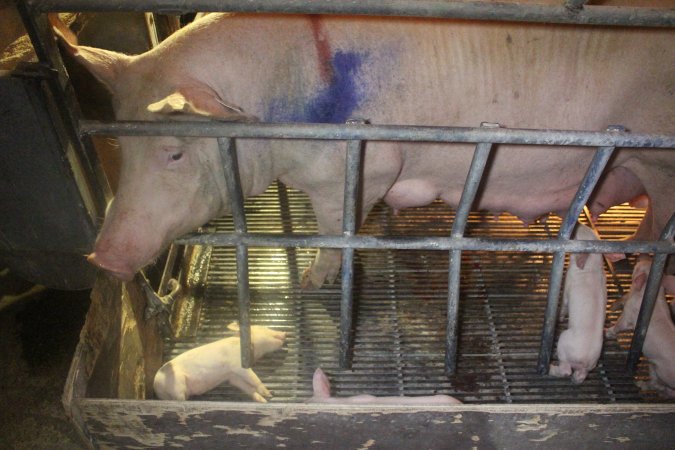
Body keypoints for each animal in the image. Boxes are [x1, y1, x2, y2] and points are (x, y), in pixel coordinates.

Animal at [54, 8, 675, 286]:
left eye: (175, 152)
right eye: (122, 148)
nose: (102, 257)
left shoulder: (367, 163)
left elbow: (338, 225)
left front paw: (313, 280)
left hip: (656, 153)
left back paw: (635, 264)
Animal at [152, 322, 286, 402]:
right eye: (263, 327)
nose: (286, 333)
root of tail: (156, 386)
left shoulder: (232, 376)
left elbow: (246, 387)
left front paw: (265, 399)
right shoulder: (238, 365)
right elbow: (254, 378)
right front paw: (269, 394)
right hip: (176, 385)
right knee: (180, 398)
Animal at [548, 224, 608, 384]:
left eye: (575, 236)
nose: (579, 223)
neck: (593, 267)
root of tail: (585, 360)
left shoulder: (568, 281)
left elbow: (564, 303)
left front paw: (560, 317)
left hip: (564, 342)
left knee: (566, 370)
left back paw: (551, 367)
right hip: (589, 365)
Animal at [608, 258, 675, 400]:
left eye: (639, 268)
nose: (645, 258)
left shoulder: (628, 314)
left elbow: (619, 325)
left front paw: (607, 331)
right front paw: (612, 307)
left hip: (661, 371)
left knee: (659, 385)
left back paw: (640, 384)